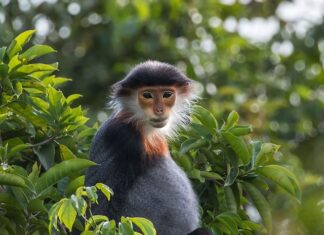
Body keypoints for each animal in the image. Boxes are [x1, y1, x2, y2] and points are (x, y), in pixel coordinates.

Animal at [85, 61, 214, 235]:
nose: (159, 110)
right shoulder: (121, 137)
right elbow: (99, 210)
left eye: (167, 94)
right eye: (147, 95)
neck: (141, 126)